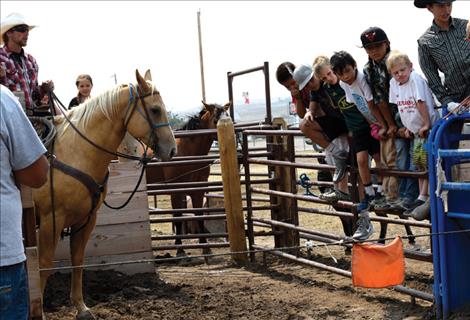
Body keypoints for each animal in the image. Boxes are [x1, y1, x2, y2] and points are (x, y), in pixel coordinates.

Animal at [33, 70, 176, 320]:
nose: (172, 149)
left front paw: (81, 307)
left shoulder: (86, 219)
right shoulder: (52, 219)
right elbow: (45, 263)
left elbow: (78, 260)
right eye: (155, 109)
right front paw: (39, 311)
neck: (76, 152)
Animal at [146, 102, 229, 258]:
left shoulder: (198, 191)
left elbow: (199, 216)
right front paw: (180, 250)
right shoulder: (176, 192)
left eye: (229, 117)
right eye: (216, 120)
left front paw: (206, 248)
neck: (187, 152)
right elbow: (178, 218)